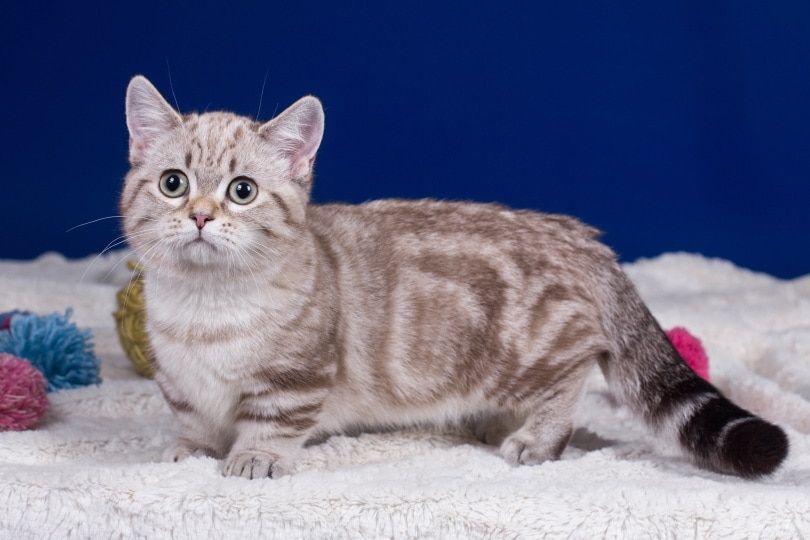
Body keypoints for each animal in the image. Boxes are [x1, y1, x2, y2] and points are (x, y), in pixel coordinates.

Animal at [118, 75, 784, 480]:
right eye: (174, 183)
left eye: (242, 191)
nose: (201, 215)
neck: (205, 311)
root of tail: (580, 234)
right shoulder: (178, 382)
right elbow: (193, 420)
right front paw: (190, 451)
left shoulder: (297, 380)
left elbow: (271, 424)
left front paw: (253, 457)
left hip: (533, 352)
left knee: (571, 378)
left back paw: (536, 439)